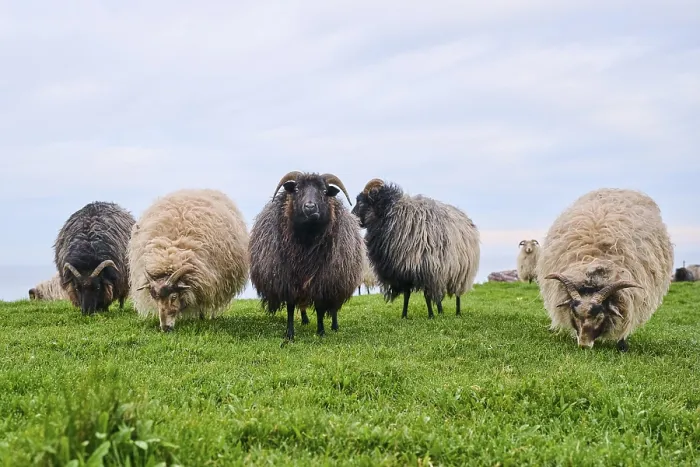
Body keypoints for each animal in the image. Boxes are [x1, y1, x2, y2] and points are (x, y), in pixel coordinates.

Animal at [128, 189, 249, 332]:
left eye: (174, 297)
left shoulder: (206, 282)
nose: (165, 328)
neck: (170, 255)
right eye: (155, 298)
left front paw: (201, 318)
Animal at [248, 171, 364, 341]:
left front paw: (321, 331)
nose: (310, 207)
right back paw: (304, 320)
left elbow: (321, 308)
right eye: (296, 189)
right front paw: (289, 334)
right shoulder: (288, 280)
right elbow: (290, 308)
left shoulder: (323, 281)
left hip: (337, 280)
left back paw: (334, 326)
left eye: (324, 191)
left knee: (334, 307)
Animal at [351, 178, 480, 319]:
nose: (351, 216)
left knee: (457, 293)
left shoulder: (426, 267)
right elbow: (407, 295)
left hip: (461, 270)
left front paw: (431, 316)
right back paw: (441, 311)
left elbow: (427, 295)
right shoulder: (402, 270)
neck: (390, 214)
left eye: (360, 202)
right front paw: (404, 316)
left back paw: (457, 312)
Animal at [535, 188, 674, 352]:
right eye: (574, 314)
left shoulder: (630, 300)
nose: (583, 345)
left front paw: (622, 346)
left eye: (599, 316)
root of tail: (618, 189)